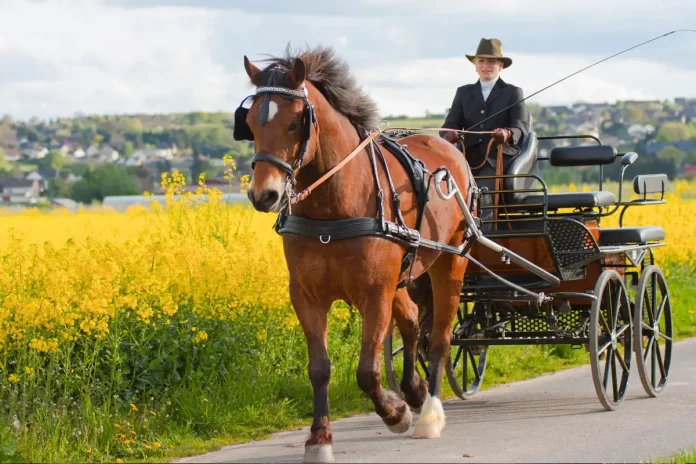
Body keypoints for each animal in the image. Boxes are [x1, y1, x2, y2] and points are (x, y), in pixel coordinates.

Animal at [239, 46, 474, 460]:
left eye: (295, 122)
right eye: (250, 122)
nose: (264, 194)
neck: (332, 209)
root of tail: (450, 148)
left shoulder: (374, 293)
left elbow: (367, 371)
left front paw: (395, 413)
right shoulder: (306, 296)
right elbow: (319, 368)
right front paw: (319, 439)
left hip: (451, 262)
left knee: (440, 339)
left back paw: (429, 413)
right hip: (404, 273)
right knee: (412, 321)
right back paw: (414, 391)